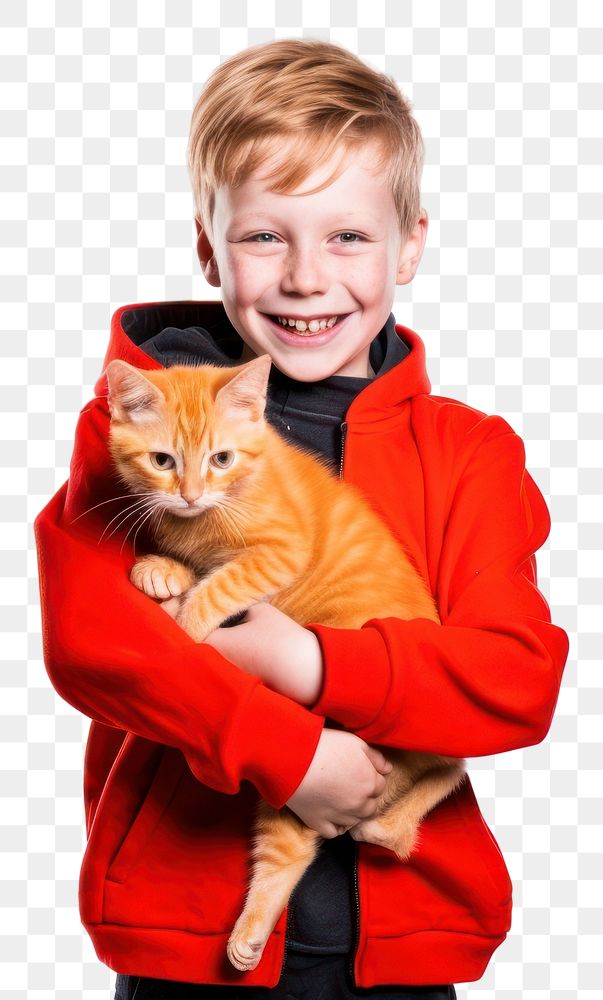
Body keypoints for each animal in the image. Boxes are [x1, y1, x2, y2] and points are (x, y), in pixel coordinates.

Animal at [105, 352, 468, 968]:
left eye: (221, 459)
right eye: (162, 461)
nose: (191, 495)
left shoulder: (279, 551)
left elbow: (223, 584)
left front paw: (188, 624)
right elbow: (191, 563)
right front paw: (162, 569)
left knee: (454, 764)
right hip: (309, 767)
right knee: (298, 840)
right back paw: (254, 934)